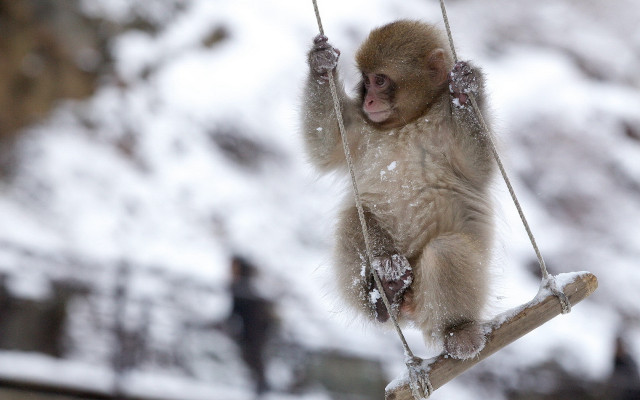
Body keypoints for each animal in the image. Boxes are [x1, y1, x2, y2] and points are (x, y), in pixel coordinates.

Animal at [301, 20, 495, 360]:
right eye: (366, 81)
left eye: (380, 80)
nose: (369, 100)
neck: (409, 120)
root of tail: (411, 310)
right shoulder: (363, 128)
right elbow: (325, 145)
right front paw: (321, 65)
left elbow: (478, 168)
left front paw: (464, 89)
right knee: (355, 217)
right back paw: (385, 293)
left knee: (445, 250)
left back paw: (458, 330)